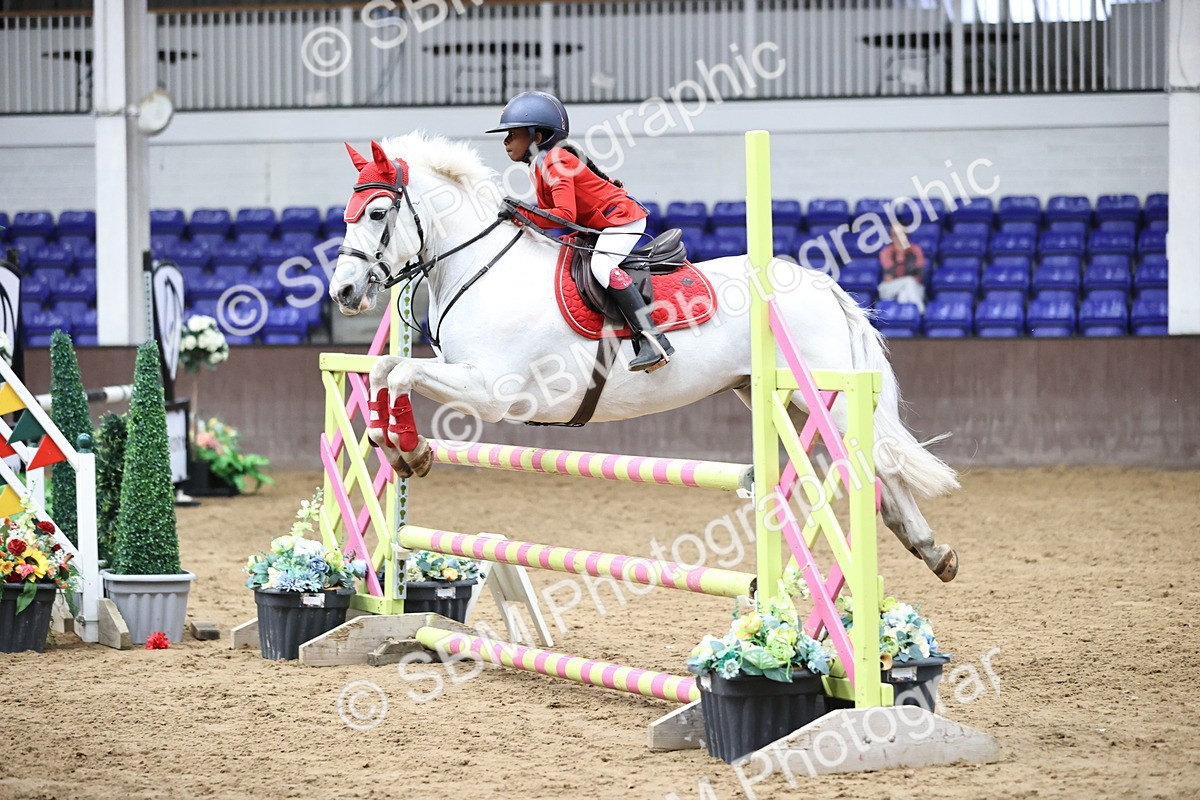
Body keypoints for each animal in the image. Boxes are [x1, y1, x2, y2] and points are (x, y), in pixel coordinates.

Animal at [328, 133, 960, 582]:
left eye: (378, 214)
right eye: (347, 214)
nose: (343, 292)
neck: (481, 268)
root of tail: (819, 282)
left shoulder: (493, 391)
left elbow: (403, 371)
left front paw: (411, 451)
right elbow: (385, 369)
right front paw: (396, 447)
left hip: (822, 395)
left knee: (878, 462)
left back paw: (929, 548)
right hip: (780, 396)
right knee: (875, 466)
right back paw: (929, 547)